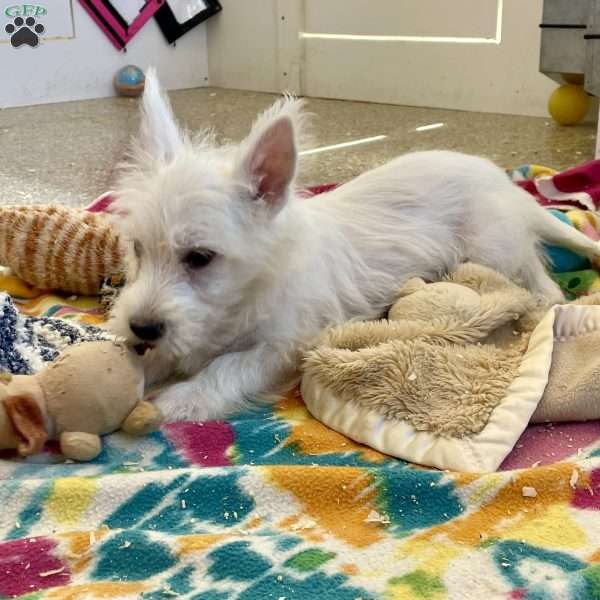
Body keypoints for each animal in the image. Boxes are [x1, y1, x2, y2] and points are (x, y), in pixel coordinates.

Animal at [109, 70, 600, 422]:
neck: (245, 293)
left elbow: (229, 367)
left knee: (545, 287)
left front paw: (184, 398)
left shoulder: (284, 345)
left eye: (200, 258)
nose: (141, 325)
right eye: (137, 250)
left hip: (494, 248)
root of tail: (504, 182)